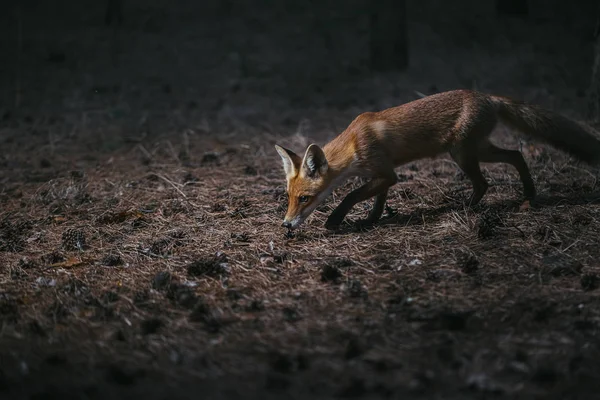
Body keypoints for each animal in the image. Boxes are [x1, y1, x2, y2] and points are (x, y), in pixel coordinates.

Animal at [274, 89, 600, 230]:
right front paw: (371, 219)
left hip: (463, 153)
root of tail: (488, 97)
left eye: (305, 199)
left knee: (485, 182)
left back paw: (466, 207)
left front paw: (335, 220)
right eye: (288, 197)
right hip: (478, 150)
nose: (286, 224)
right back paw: (529, 193)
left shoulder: (386, 173)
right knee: (516, 155)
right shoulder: (382, 174)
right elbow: (377, 200)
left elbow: (351, 195)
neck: (355, 143)